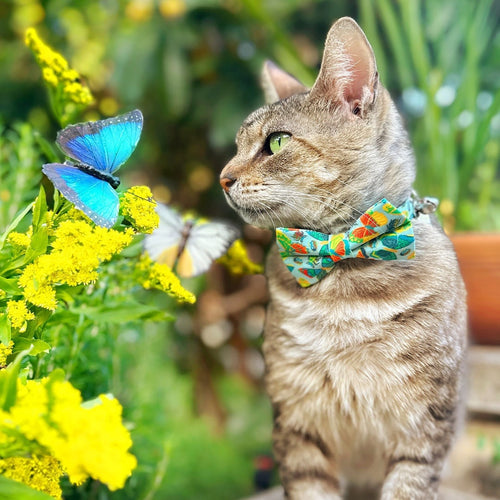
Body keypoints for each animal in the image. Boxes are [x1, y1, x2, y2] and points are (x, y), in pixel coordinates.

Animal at [221, 16, 466, 500]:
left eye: (277, 142)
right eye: (237, 146)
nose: (223, 177)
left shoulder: (426, 423)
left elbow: (409, 486)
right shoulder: (297, 420)